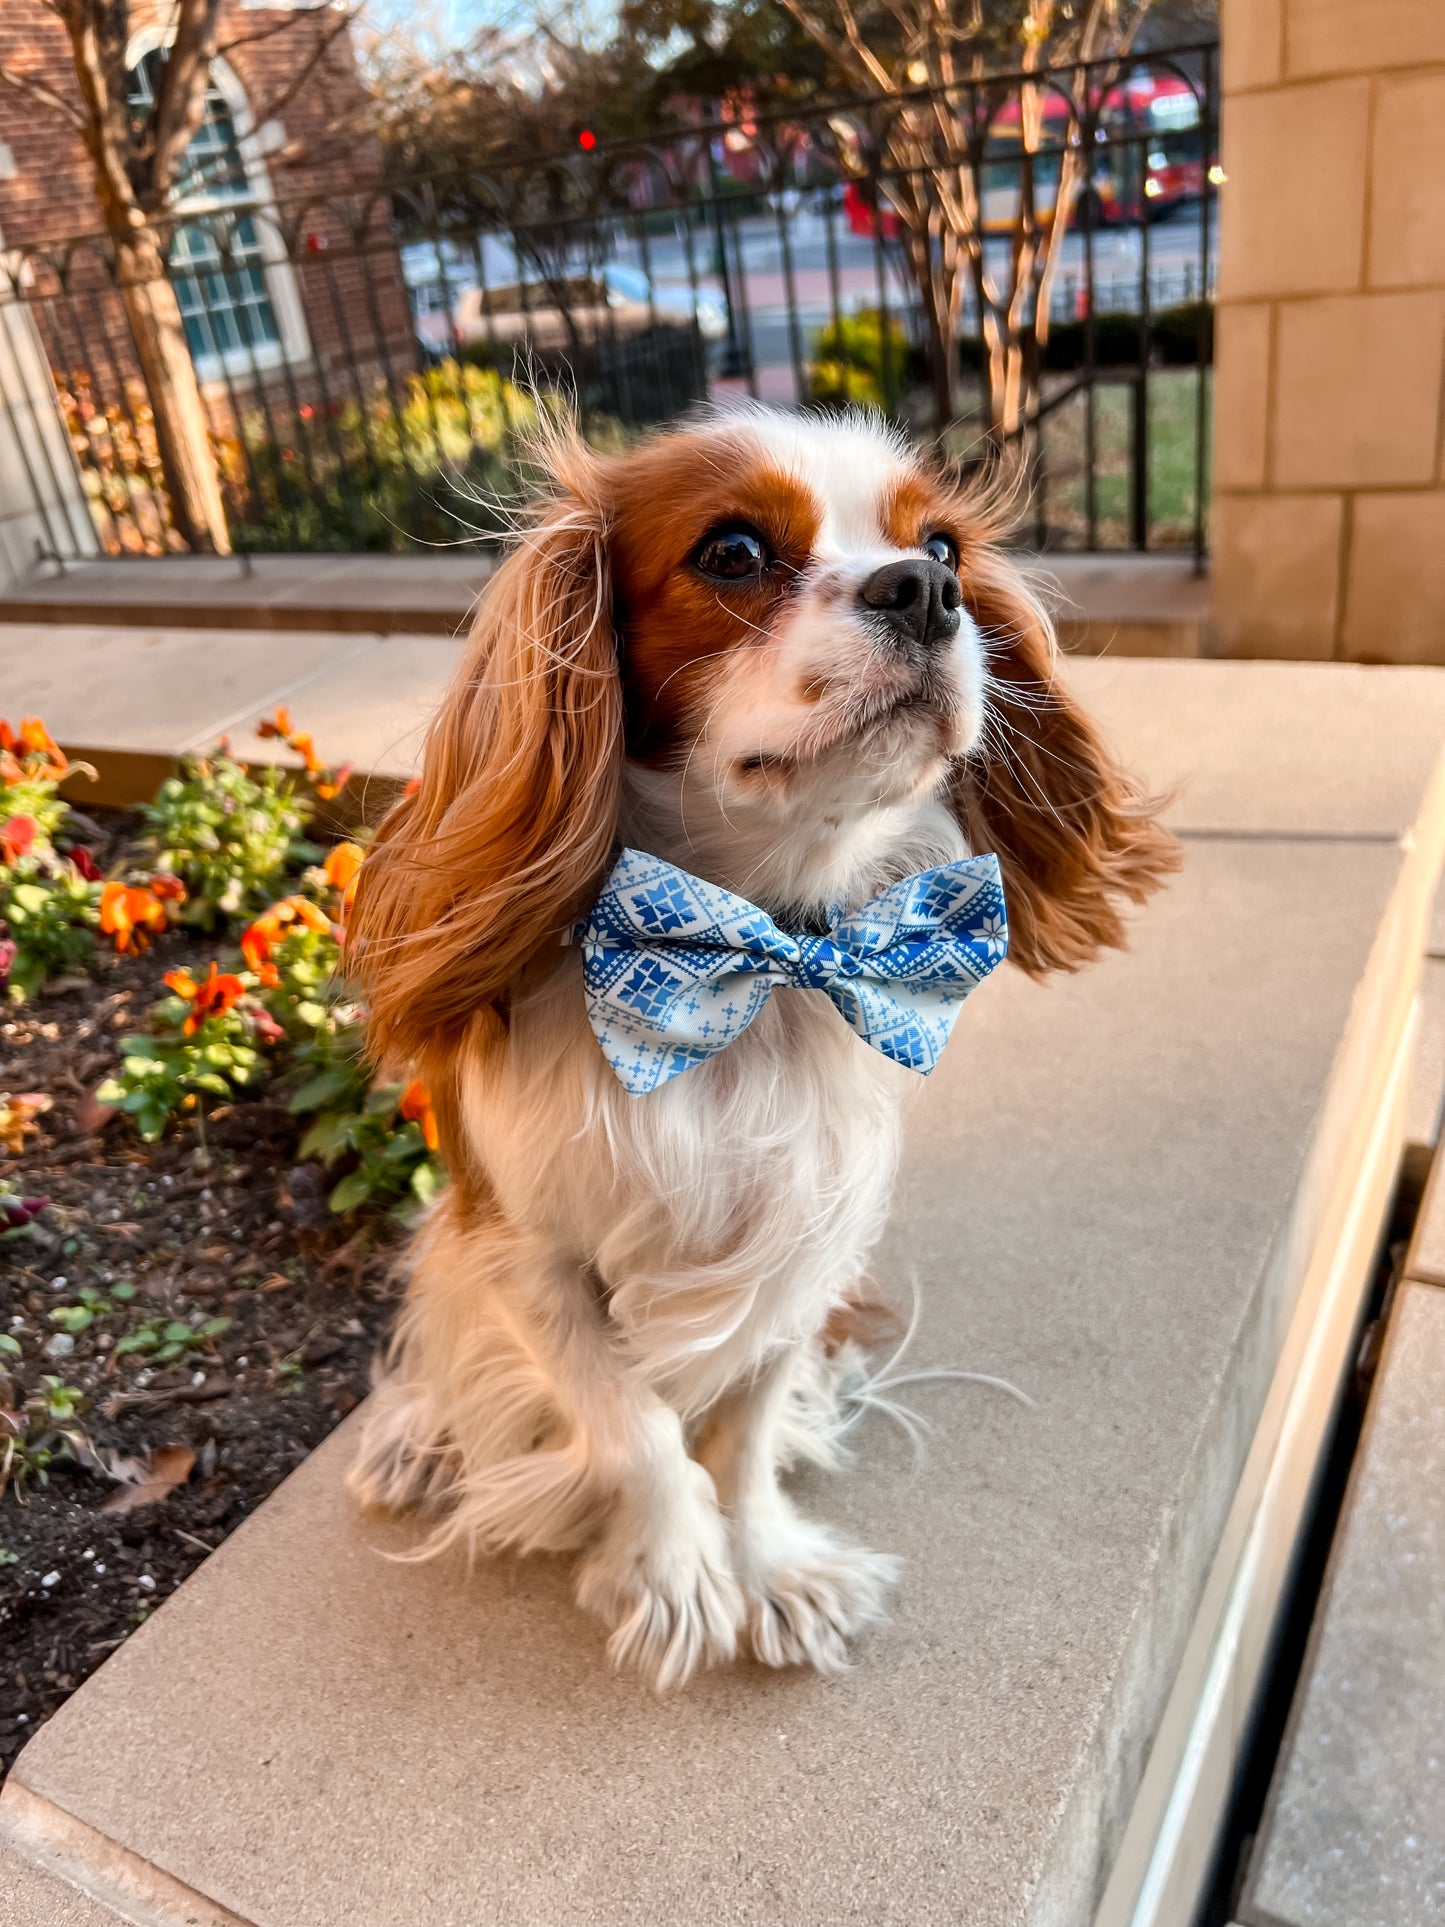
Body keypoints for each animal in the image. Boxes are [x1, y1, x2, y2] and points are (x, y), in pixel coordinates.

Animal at [348, 402, 1179, 1688]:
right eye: (732, 552)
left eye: (939, 545)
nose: (924, 591)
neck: (758, 959)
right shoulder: (521, 1248)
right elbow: (628, 1421)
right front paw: (674, 1568)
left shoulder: (805, 1238)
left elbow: (738, 1429)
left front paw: (765, 1565)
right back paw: (420, 1433)